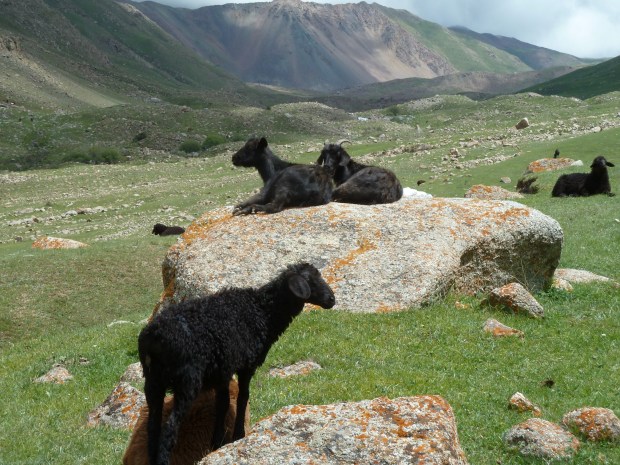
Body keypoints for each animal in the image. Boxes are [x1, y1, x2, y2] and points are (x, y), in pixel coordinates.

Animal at [138, 262, 335, 465]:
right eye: (311, 280)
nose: (332, 299)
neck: (263, 312)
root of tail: (154, 338)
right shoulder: (245, 366)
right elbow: (242, 398)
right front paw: (237, 435)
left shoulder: (222, 370)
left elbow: (222, 404)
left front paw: (217, 443)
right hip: (188, 380)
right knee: (170, 427)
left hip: (152, 381)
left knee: (153, 425)